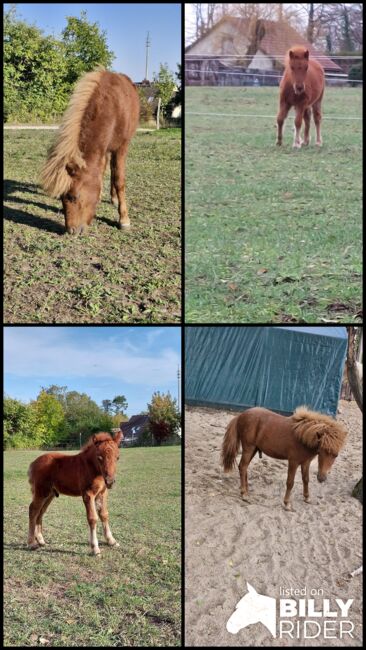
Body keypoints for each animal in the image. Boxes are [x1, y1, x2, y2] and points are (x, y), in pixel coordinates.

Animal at [40, 68, 139, 234]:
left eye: (73, 196)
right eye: (61, 198)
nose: (71, 231)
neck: (112, 107)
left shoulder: (121, 148)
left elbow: (119, 180)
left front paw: (124, 220)